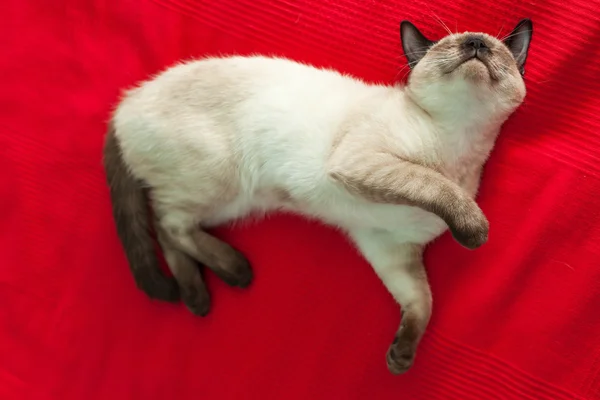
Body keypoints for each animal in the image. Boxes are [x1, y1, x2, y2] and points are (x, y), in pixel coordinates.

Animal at [103, 19, 536, 376]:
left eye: (492, 49)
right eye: (451, 44)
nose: (476, 43)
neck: (457, 146)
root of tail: (124, 103)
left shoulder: (388, 245)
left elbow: (421, 302)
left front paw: (400, 358)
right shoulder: (365, 163)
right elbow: (435, 186)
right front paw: (475, 232)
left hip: (230, 200)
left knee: (164, 226)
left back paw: (196, 296)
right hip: (219, 179)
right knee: (168, 221)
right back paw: (235, 271)